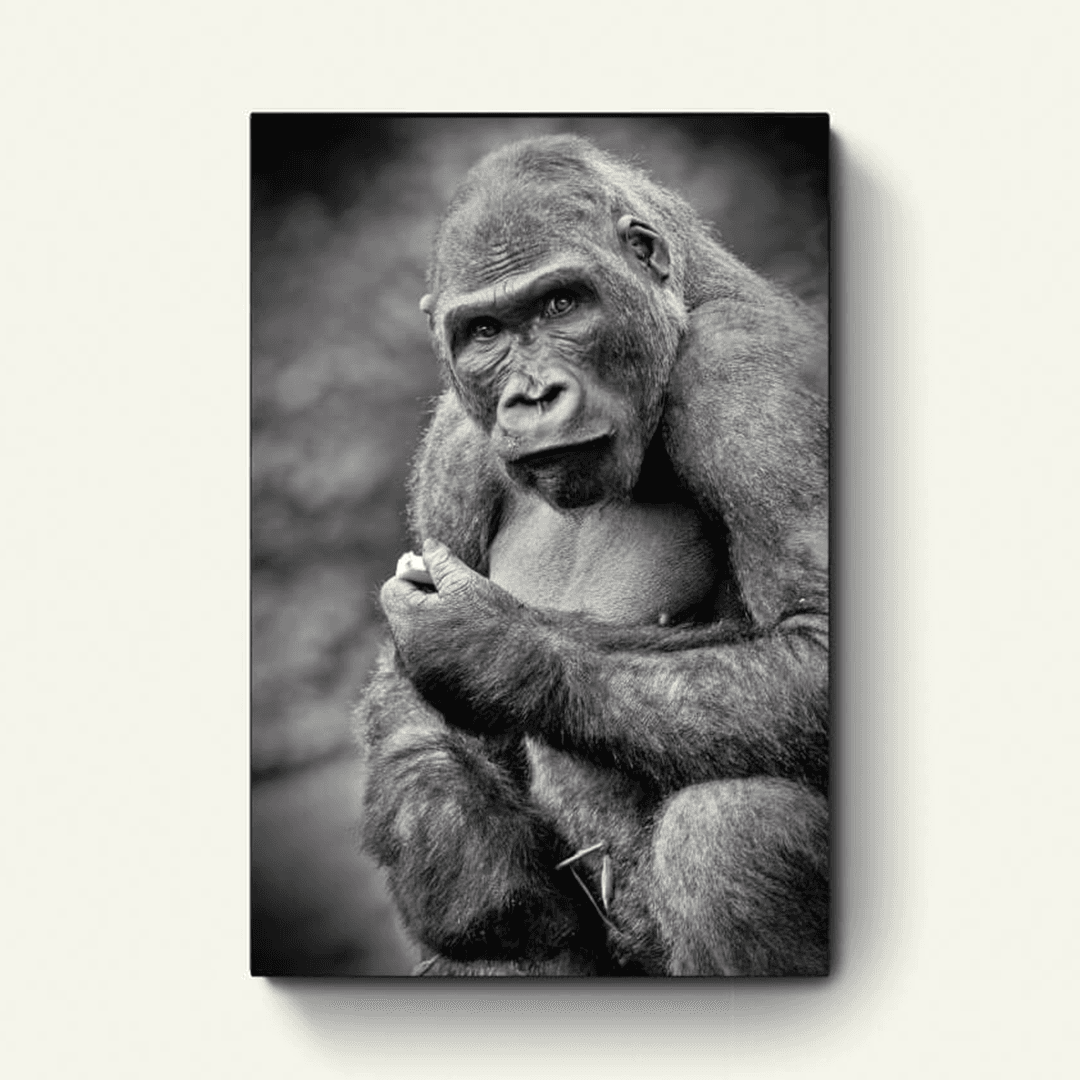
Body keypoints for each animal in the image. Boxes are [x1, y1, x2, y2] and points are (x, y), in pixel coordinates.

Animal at [354, 134, 829, 976]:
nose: (534, 396)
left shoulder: (752, 381)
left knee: (734, 832)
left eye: (561, 305)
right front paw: (471, 867)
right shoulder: (452, 445)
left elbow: (815, 640)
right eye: (485, 332)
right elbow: (411, 694)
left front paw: (491, 648)